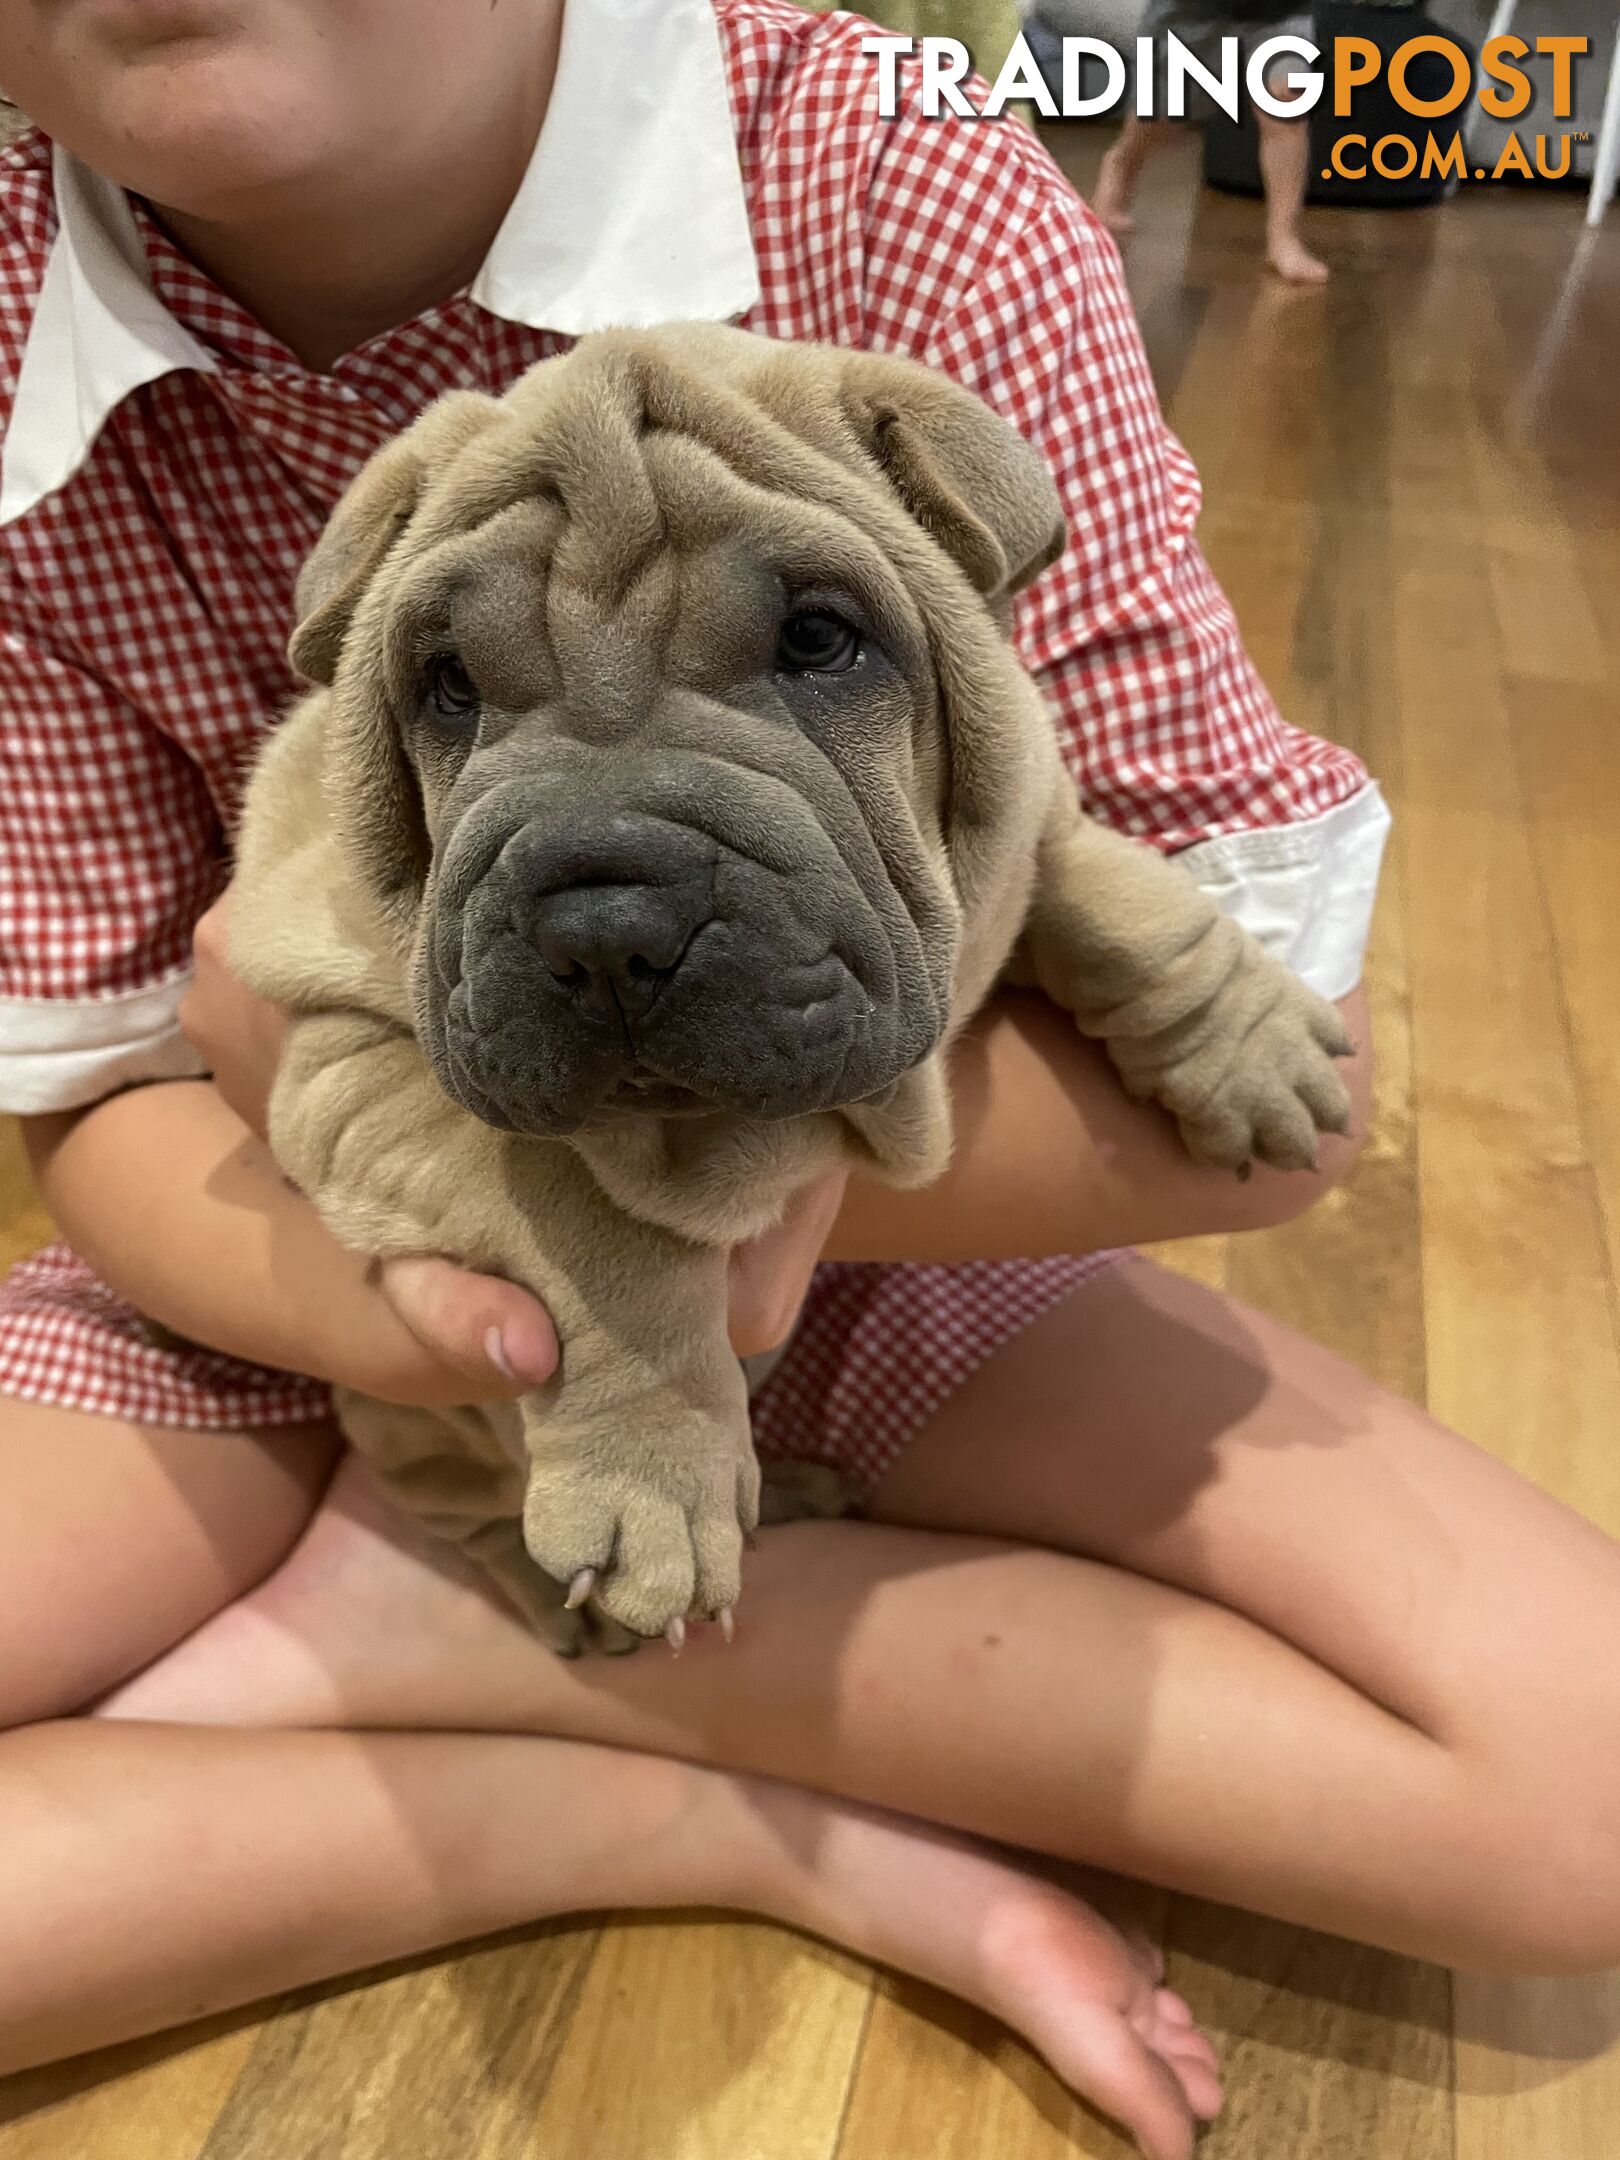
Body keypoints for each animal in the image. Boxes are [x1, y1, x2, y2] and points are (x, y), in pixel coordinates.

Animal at [231, 319, 1356, 1641]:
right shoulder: (355, 1072)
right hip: (408, 1420)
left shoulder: (1014, 819)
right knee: (453, 1502)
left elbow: (1109, 885)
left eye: (818, 641)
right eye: (448, 685)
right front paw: (651, 1479)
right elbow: (589, 1218)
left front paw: (1252, 1038)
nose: (606, 922)